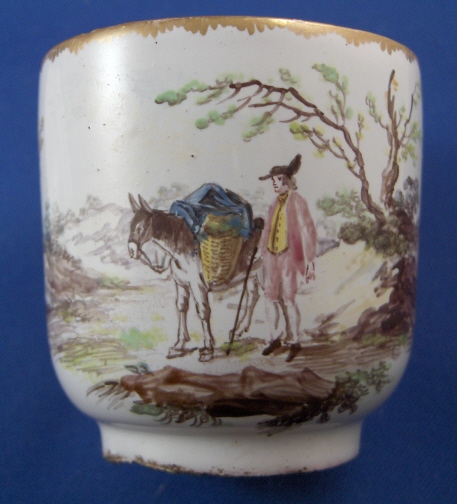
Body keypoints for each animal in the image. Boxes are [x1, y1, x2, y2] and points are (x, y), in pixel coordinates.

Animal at [128, 194, 264, 362]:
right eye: (131, 226)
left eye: (140, 228)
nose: (132, 250)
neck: (184, 247)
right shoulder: (181, 284)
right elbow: (181, 307)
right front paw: (179, 345)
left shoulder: (198, 286)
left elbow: (203, 312)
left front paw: (208, 349)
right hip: (252, 275)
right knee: (252, 297)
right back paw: (237, 331)